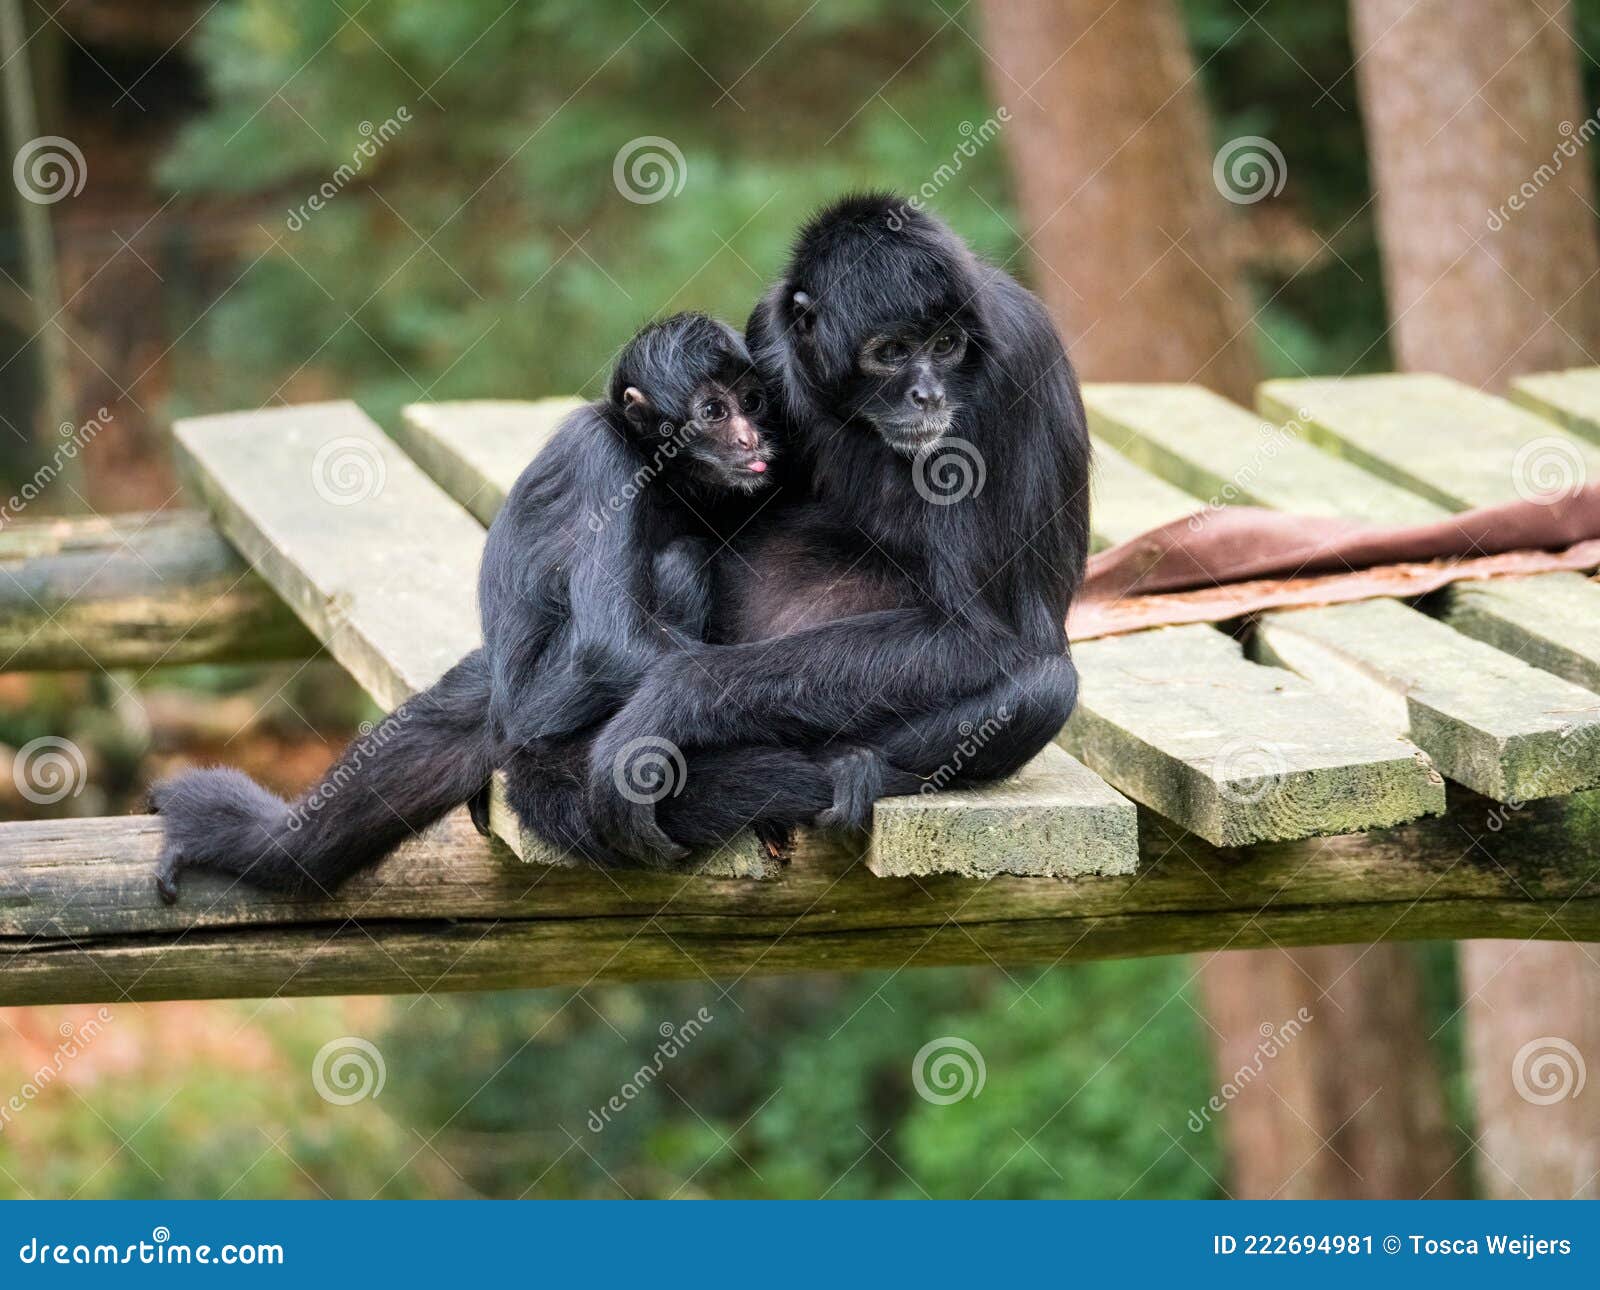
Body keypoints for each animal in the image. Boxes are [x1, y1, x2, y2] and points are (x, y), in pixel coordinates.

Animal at [582, 196, 1094, 864]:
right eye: (893, 351)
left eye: (947, 344)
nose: (928, 395)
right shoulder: (768, 333)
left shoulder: (1013, 366)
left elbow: (980, 636)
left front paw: (673, 699)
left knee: (1046, 682)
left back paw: (849, 767)